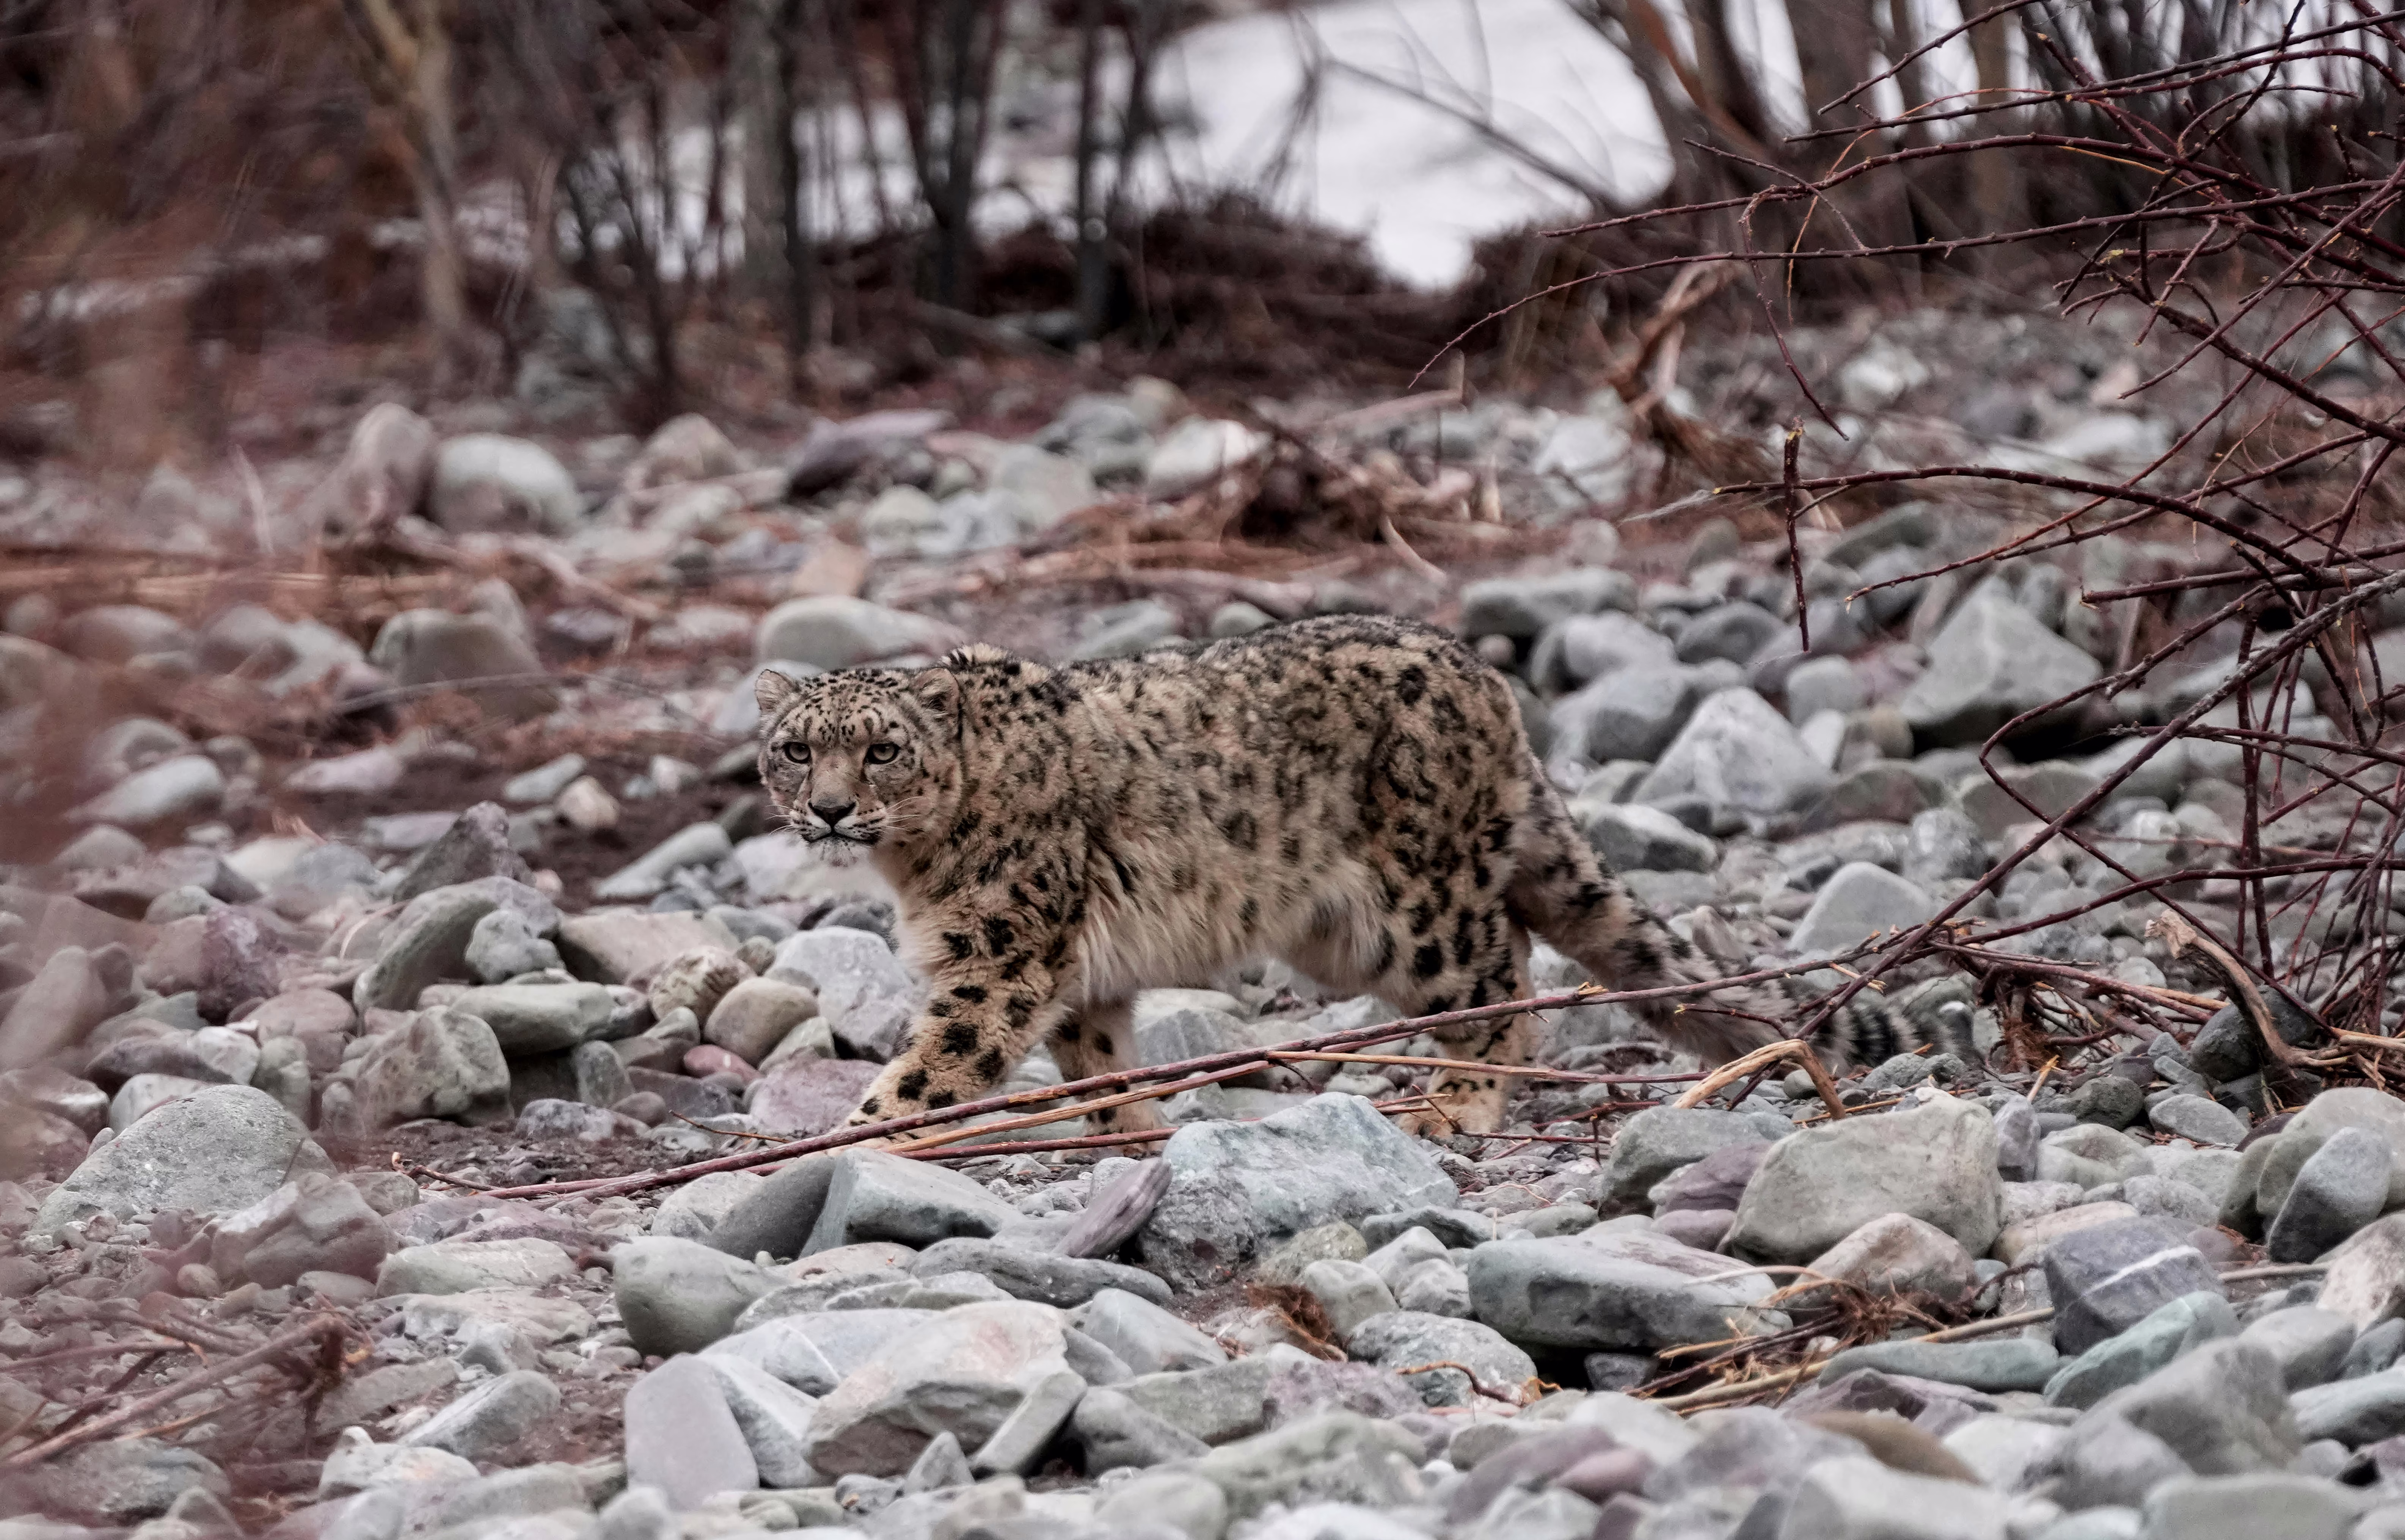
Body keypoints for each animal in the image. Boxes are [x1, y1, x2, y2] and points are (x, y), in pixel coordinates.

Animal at [752, 614, 1963, 1141]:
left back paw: (1458, 1102)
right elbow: (1096, 1053)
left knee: (1499, 979)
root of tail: (1487, 682)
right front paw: (1126, 1132)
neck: (913, 867)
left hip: (1416, 906)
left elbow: (934, 1066)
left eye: (882, 749)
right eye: (795, 748)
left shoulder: (999, 955)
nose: (829, 807)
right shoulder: (1071, 971)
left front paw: (835, 1145)